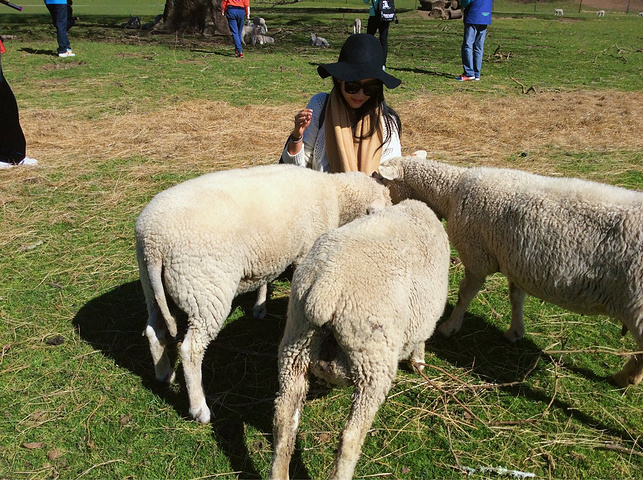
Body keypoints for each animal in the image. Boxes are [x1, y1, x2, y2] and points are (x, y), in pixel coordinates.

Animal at [135, 163, 392, 422]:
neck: (336, 195)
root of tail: (153, 241)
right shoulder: (305, 252)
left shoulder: (268, 254)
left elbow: (264, 280)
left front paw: (260, 307)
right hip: (205, 291)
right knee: (191, 350)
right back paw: (200, 408)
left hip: (154, 289)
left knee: (153, 330)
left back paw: (164, 374)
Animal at [270, 200, 450, 480]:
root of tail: (326, 289)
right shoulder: (426, 318)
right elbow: (421, 342)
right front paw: (419, 363)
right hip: (372, 364)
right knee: (350, 438)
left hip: (295, 344)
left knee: (284, 419)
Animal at [378, 153, 643, 386]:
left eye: (380, 179)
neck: (450, 192)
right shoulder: (515, 261)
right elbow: (516, 298)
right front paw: (515, 332)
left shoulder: (477, 256)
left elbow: (465, 295)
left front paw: (450, 326)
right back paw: (628, 378)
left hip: (637, 304)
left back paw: (625, 377)